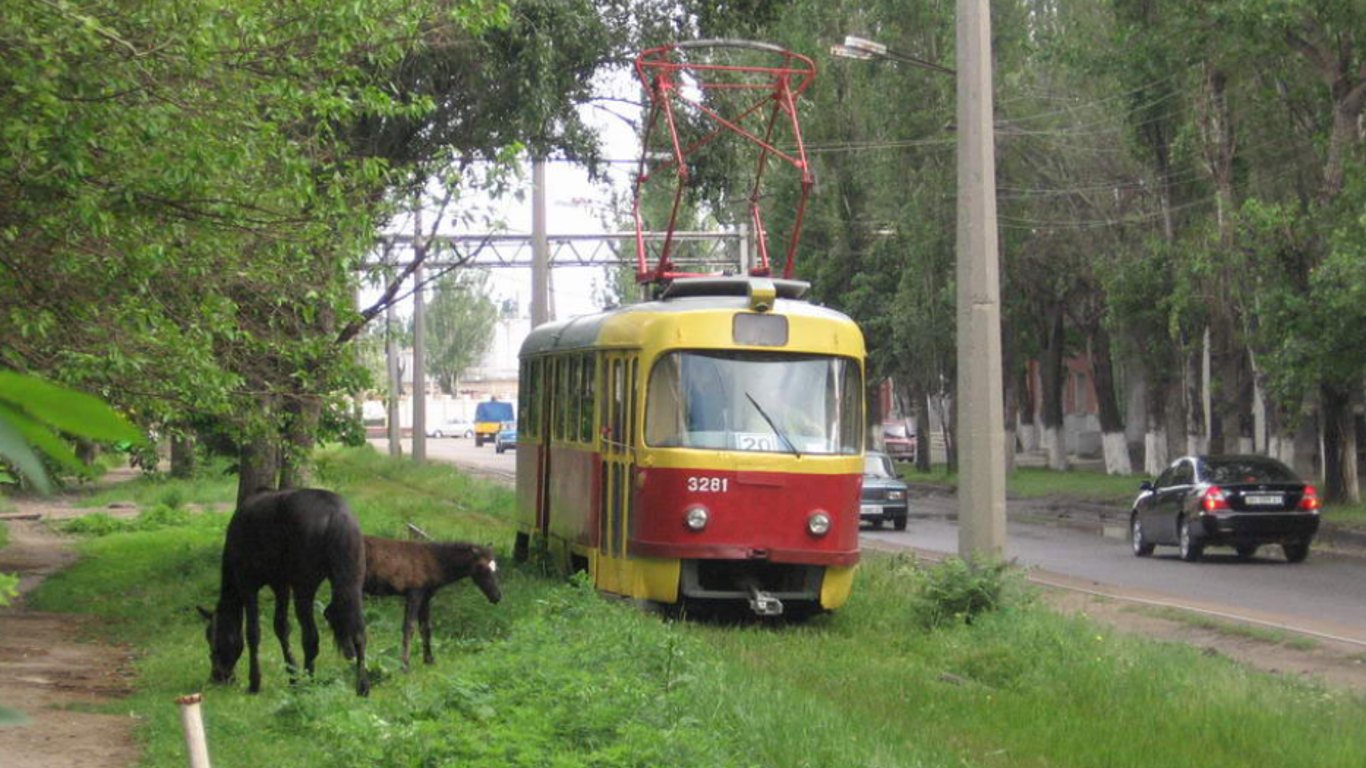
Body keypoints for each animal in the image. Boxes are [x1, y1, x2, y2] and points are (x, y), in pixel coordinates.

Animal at [198, 489, 368, 694]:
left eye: (213, 640)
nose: (218, 676)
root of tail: (336, 514)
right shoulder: (281, 585)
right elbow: (281, 627)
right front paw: (292, 675)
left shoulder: (248, 585)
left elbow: (253, 632)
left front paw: (255, 682)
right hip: (352, 584)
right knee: (359, 634)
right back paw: (362, 686)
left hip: (304, 588)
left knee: (311, 638)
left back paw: (309, 682)